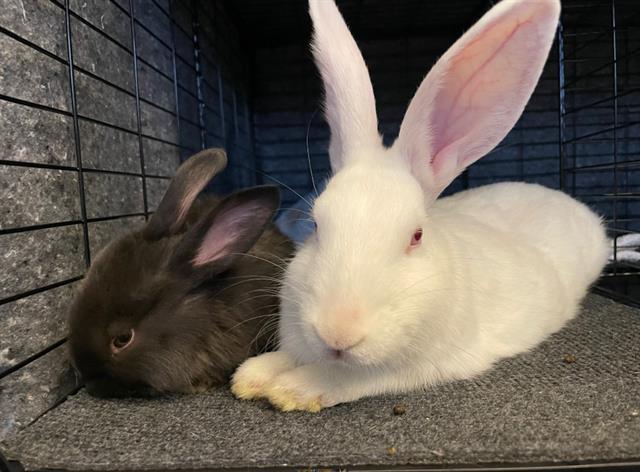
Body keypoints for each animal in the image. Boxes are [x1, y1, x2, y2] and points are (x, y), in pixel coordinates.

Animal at [230, 0, 609, 412]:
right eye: (315, 226)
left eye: (416, 235)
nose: (338, 332)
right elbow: (287, 357)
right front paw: (251, 376)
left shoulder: (415, 367)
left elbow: (345, 377)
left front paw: (293, 389)